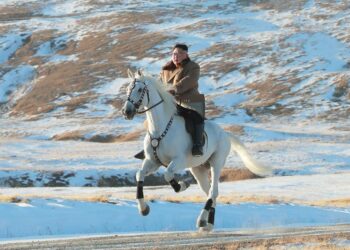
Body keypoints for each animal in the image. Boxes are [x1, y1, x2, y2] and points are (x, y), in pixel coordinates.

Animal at [121, 69, 272, 231]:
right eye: (128, 89)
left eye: (140, 89)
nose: (126, 111)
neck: (160, 129)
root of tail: (225, 134)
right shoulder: (152, 161)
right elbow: (139, 175)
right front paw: (143, 209)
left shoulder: (178, 161)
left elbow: (168, 175)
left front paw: (182, 185)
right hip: (198, 169)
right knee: (210, 193)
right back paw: (207, 224)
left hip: (216, 163)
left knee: (213, 191)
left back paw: (202, 221)